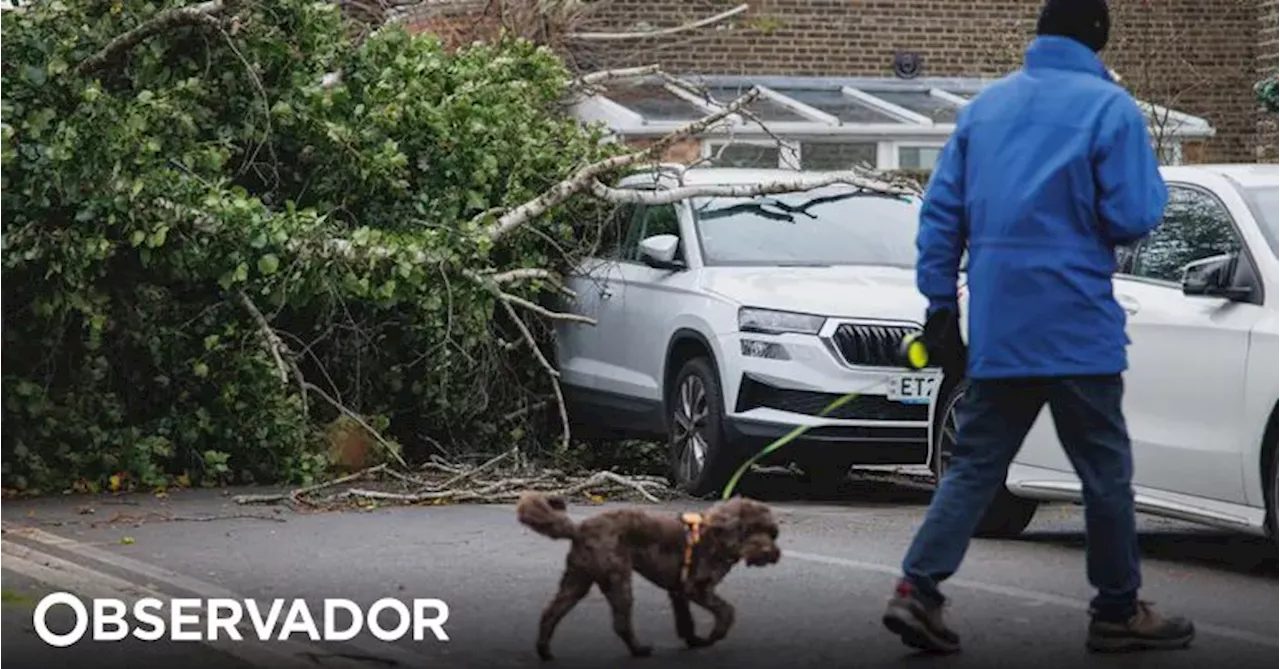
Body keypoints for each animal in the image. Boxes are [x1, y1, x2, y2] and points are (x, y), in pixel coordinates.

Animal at [517, 488, 778, 660]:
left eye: (771, 532)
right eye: (749, 530)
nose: (768, 552)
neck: (715, 536)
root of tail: (579, 529)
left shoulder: (678, 591)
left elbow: (686, 621)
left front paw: (693, 640)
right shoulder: (697, 587)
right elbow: (727, 611)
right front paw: (715, 634)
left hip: (577, 580)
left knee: (551, 612)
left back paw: (544, 651)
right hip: (617, 579)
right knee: (621, 623)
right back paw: (639, 650)